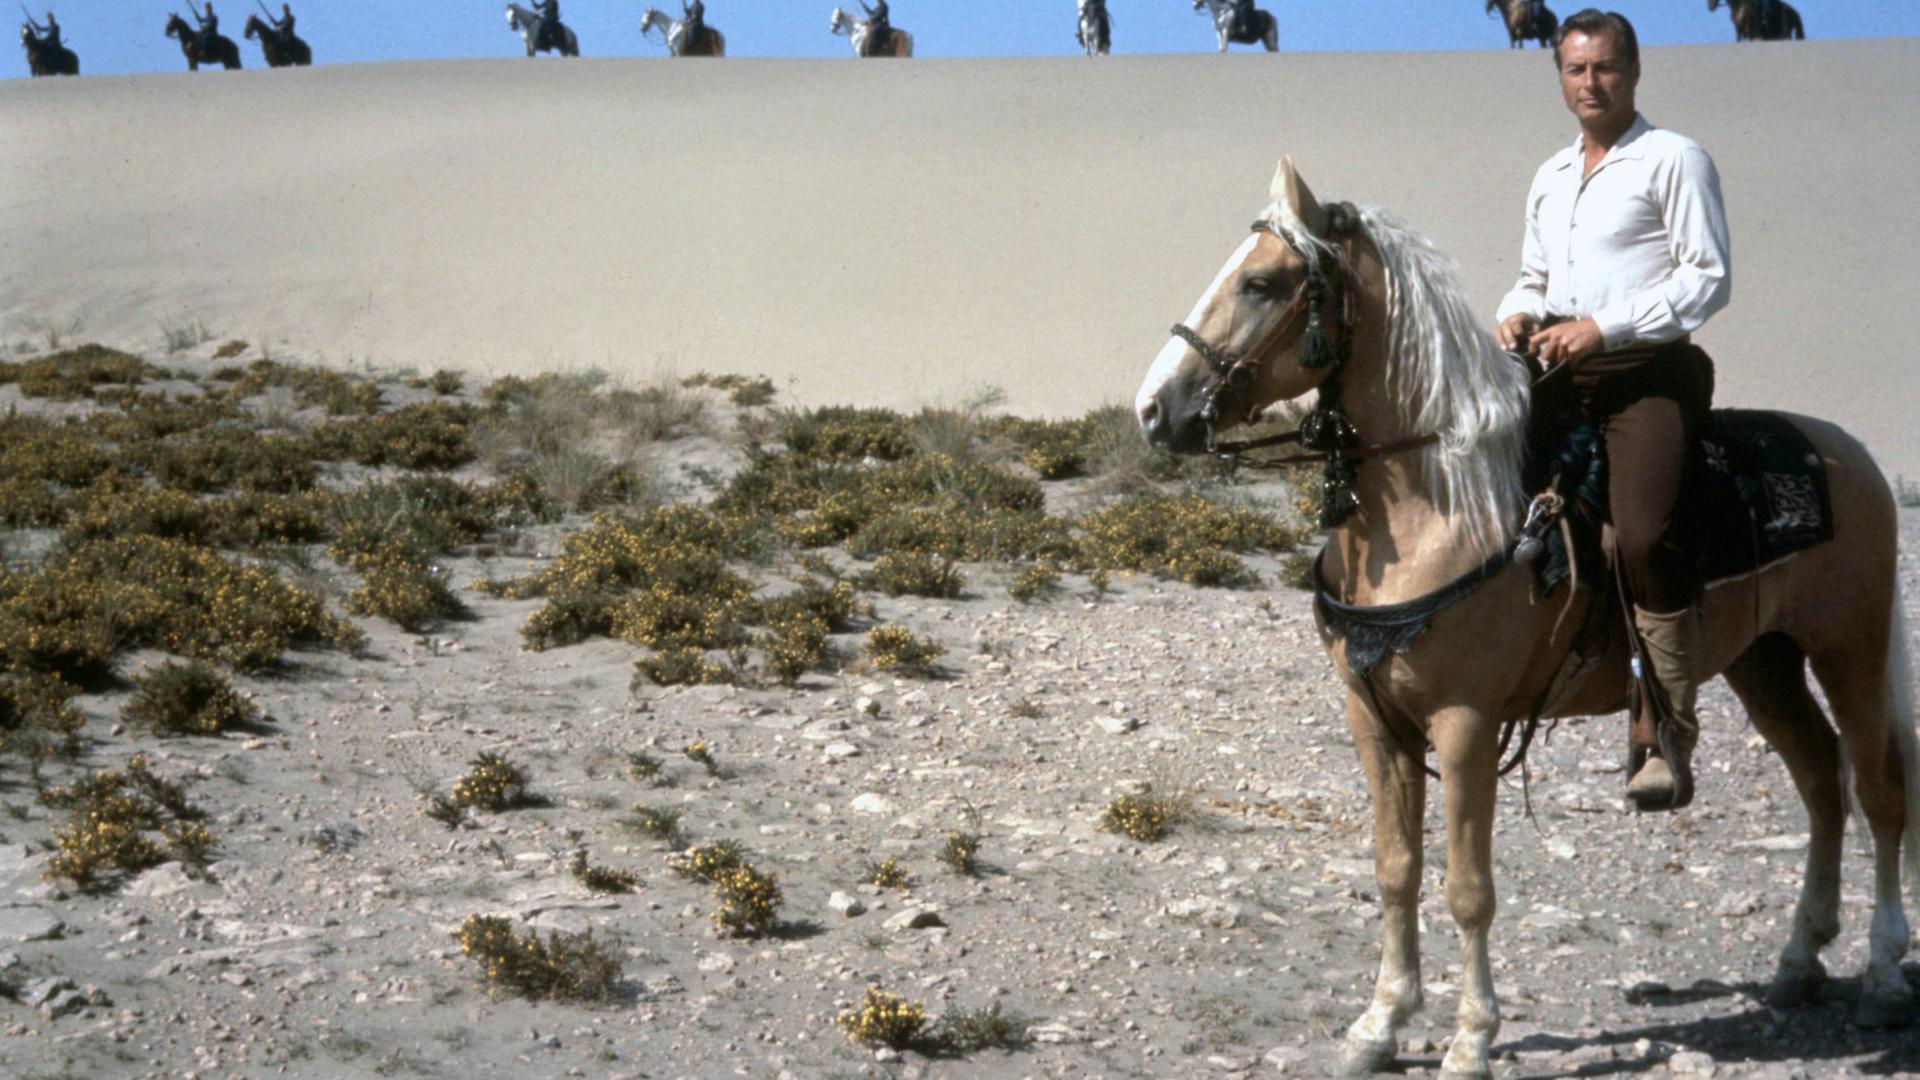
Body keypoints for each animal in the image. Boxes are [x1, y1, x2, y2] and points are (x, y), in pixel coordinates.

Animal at [1135, 157, 1920, 1077]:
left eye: (1261, 282)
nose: (1154, 410)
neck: (1441, 505)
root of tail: (1851, 453)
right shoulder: (1374, 718)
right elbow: (1395, 867)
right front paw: (1381, 1022)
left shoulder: (1465, 721)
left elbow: (1468, 888)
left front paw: (1472, 1037)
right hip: (1762, 662)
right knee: (1821, 781)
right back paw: (1799, 961)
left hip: (1849, 648)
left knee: (1878, 791)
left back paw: (1882, 976)